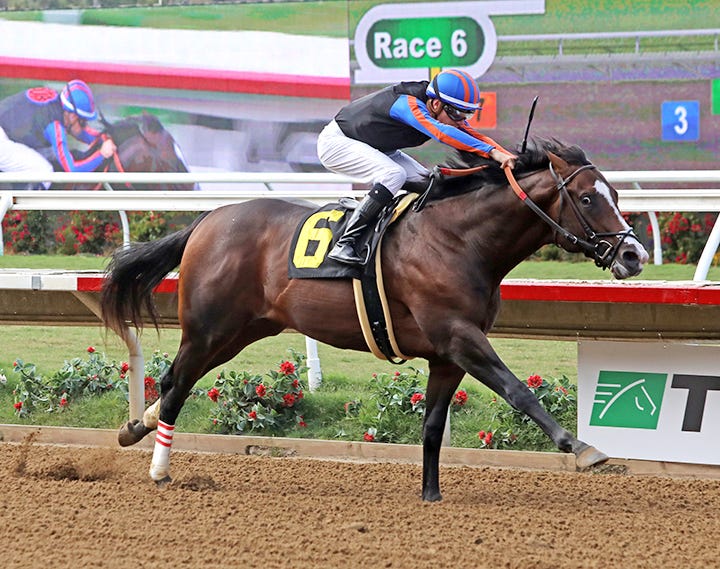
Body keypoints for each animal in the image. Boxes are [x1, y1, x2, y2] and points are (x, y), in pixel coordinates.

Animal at [100, 137, 649, 502]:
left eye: (618, 196)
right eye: (586, 198)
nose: (634, 256)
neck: (460, 239)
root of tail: (207, 220)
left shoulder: (447, 353)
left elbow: (432, 424)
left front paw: (431, 495)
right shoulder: (459, 336)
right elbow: (518, 391)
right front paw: (581, 447)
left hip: (240, 331)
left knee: (176, 380)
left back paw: (134, 428)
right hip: (209, 327)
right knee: (177, 385)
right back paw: (158, 469)